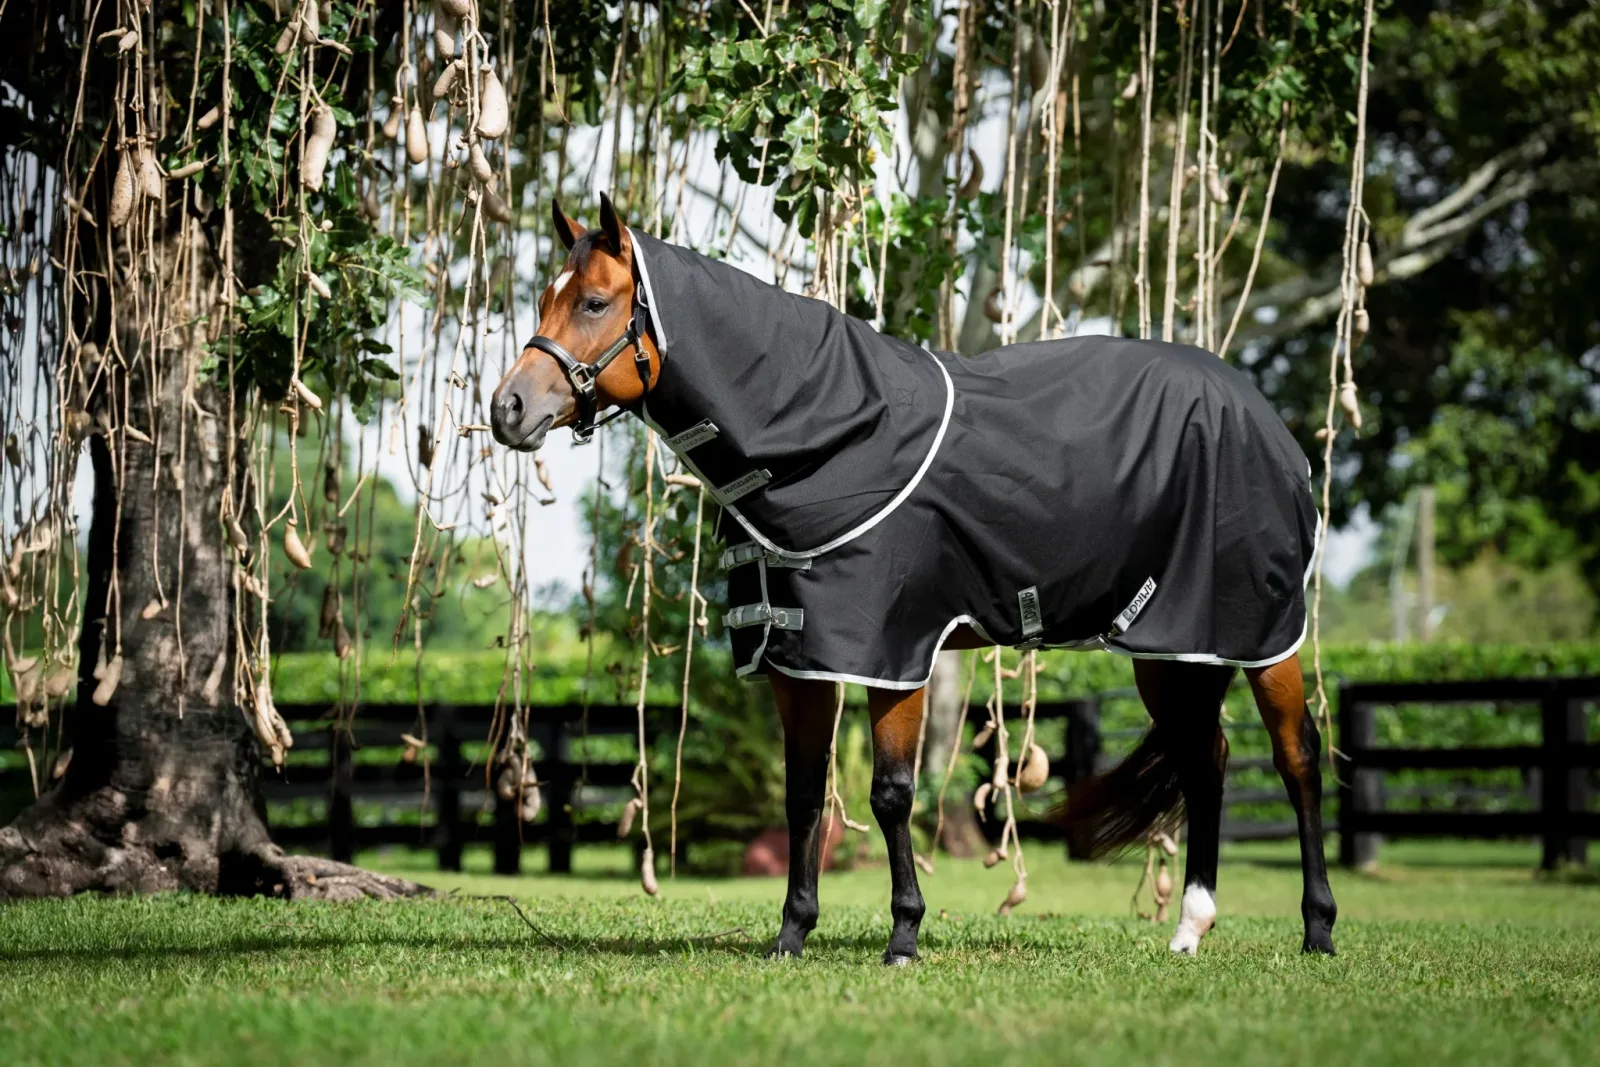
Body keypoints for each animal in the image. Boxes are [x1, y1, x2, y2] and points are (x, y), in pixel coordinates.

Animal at [491, 194, 1338, 964]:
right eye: (546, 299)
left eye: (595, 301)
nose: (508, 408)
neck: (829, 433)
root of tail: (1262, 415)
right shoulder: (801, 660)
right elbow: (805, 793)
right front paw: (792, 933)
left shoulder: (893, 653)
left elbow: (891, 792)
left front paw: (903, 935)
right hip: (1173, 645)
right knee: (1206, 758)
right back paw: (1191, 925)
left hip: (1261, 634)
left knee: (1296, 756)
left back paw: (1318, 928)